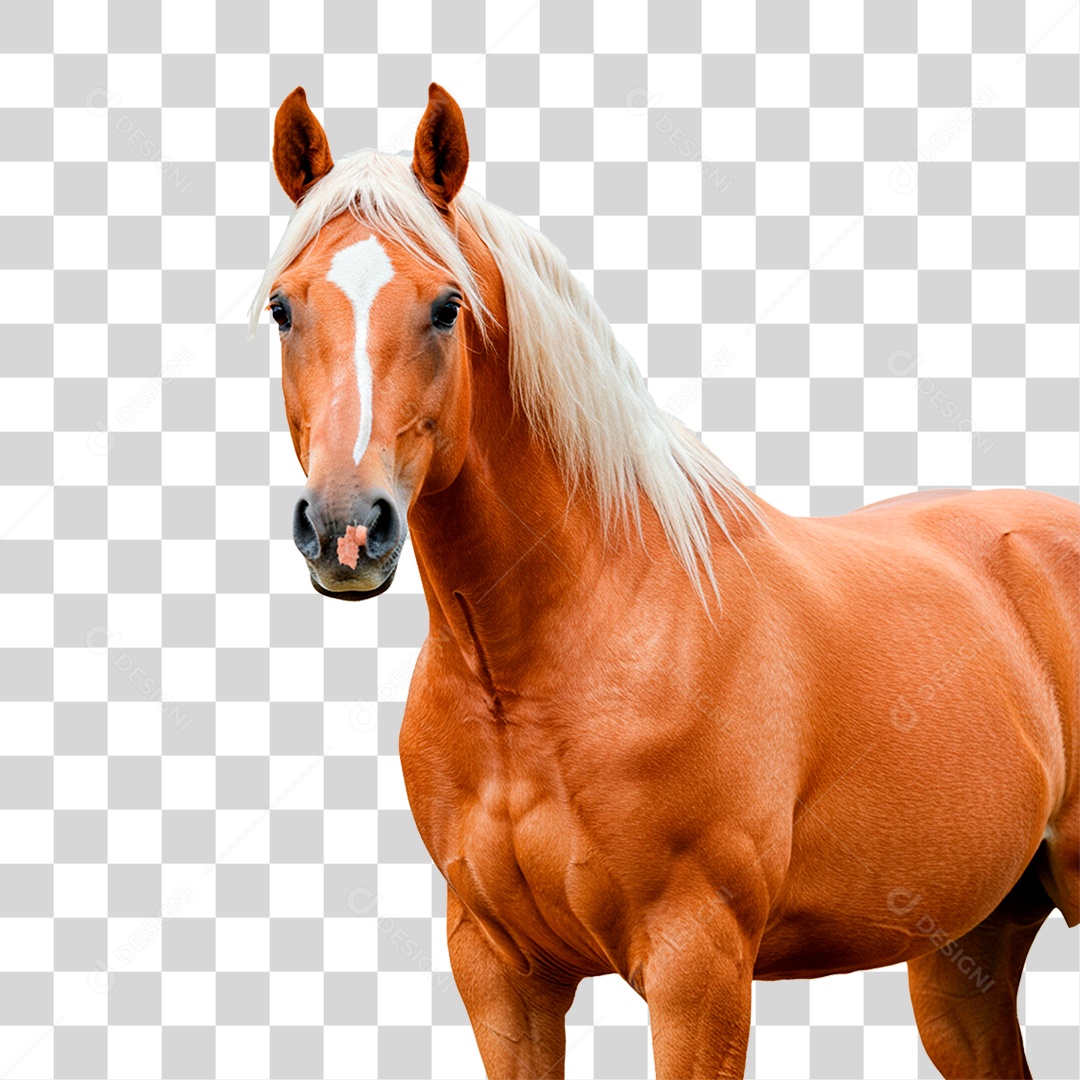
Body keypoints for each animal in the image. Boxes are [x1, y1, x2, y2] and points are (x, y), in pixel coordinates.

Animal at [252, 83, 1079, 1079]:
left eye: (446, 307)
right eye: (283, 308)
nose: (345, 529)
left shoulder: (698, 965)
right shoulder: (500, 972)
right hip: (965, 951)